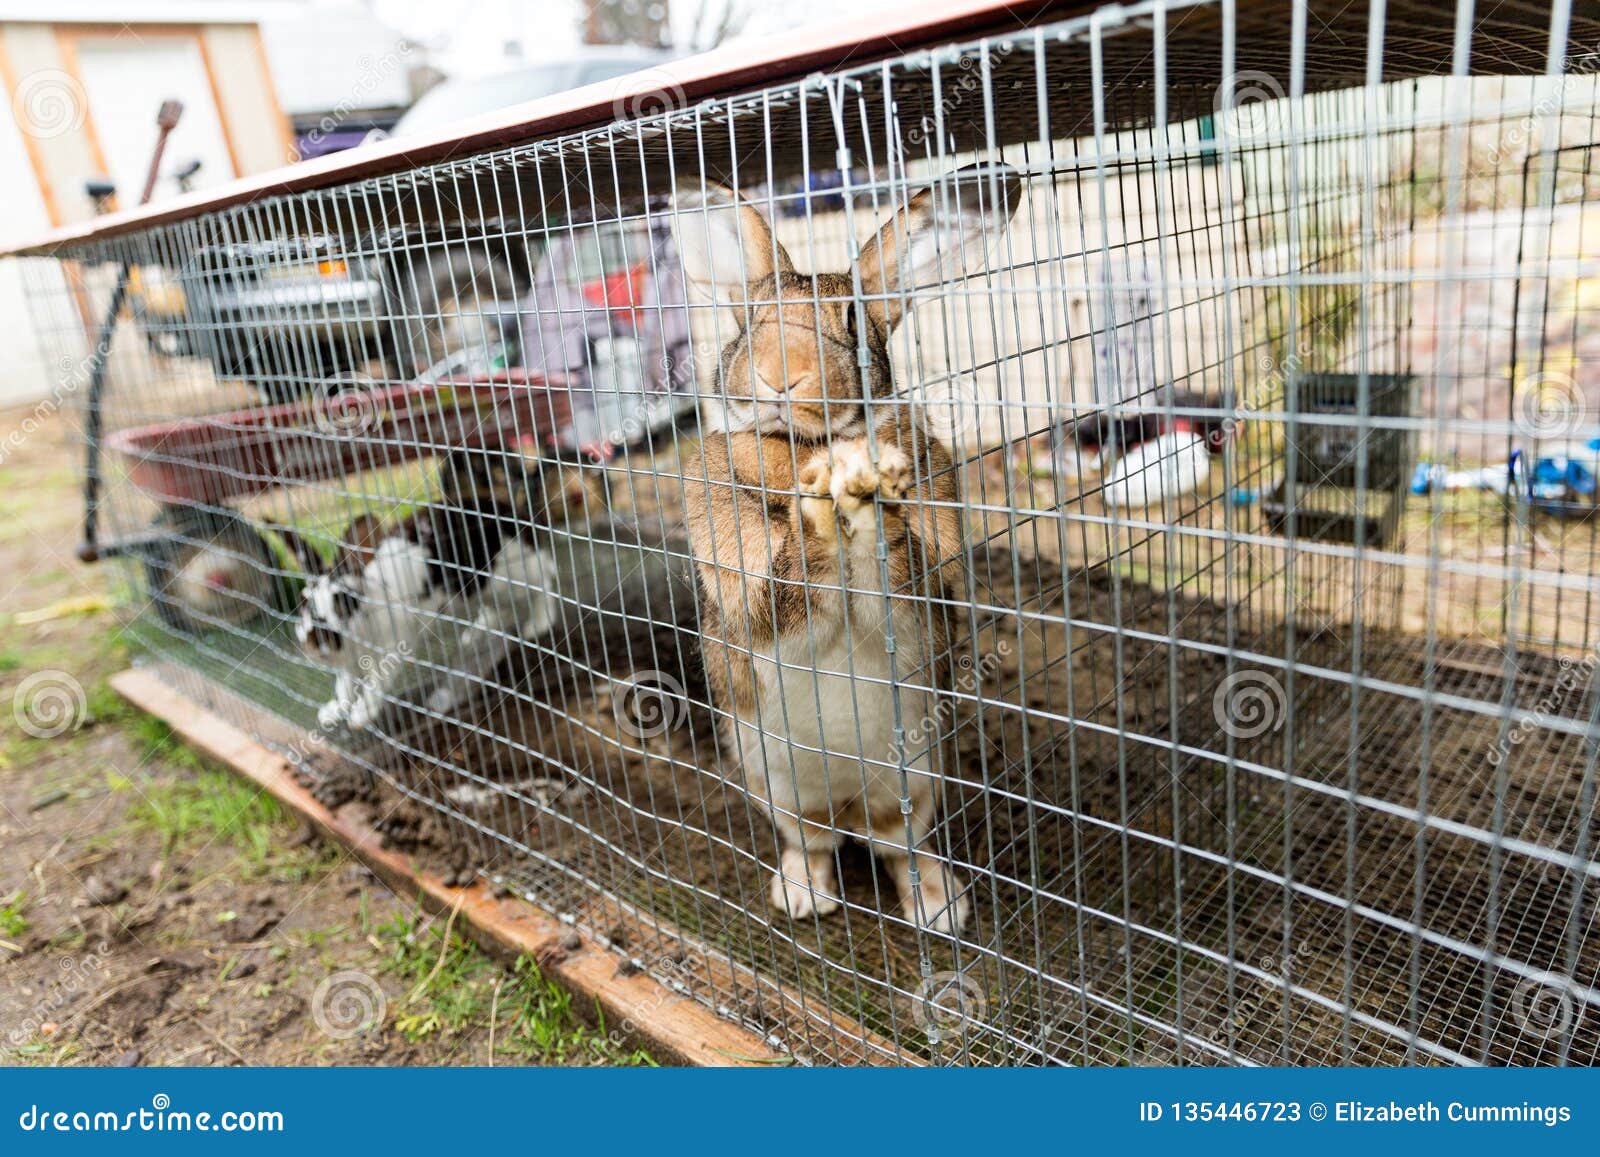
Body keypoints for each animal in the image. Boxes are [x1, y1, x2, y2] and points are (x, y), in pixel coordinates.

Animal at [671, 163, 1023, 934]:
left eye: (855, 325)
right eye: (751, 321)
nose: (781, 375)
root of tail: (849, 807)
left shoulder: (926, 584)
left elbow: (905, 576)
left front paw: (868, 486)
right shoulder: (743, 584)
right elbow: (779, 589)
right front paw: (826, 505)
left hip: (915, 779)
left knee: (901, 849)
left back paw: (940, 909)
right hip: (774, 783)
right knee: (813, 843)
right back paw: (803, 898)